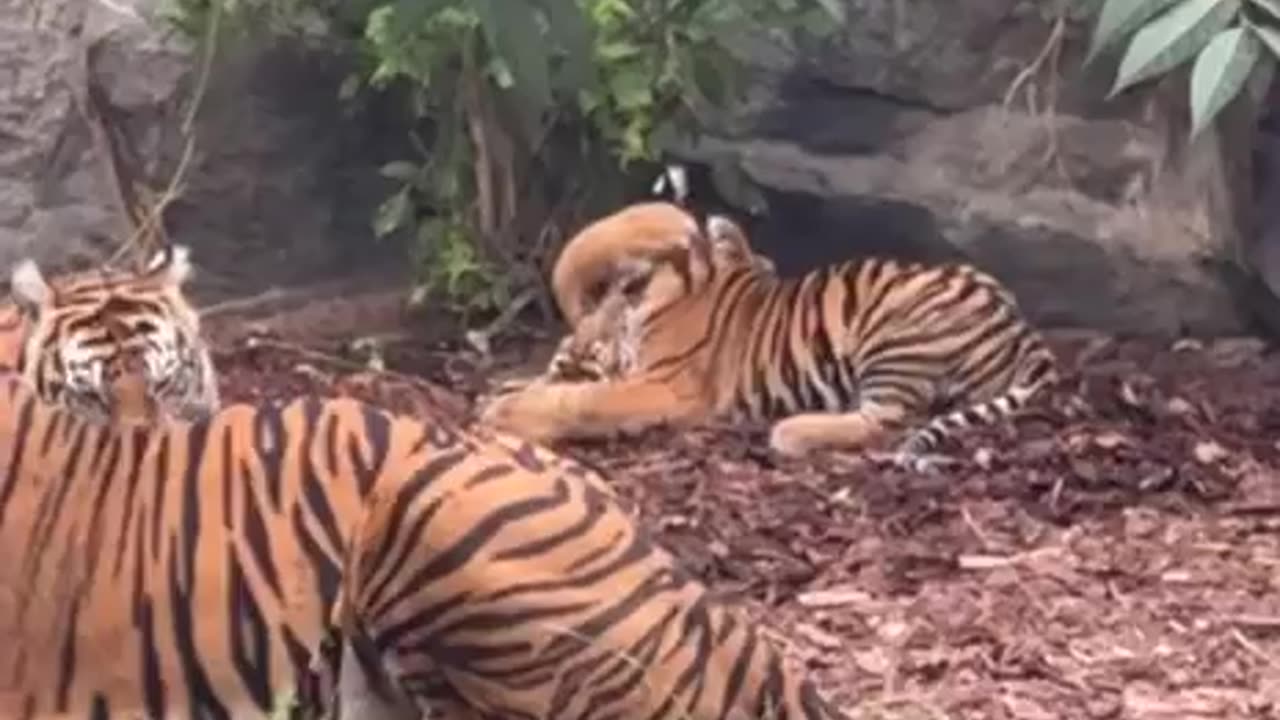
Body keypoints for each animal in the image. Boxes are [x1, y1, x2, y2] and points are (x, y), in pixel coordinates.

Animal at [480, 213, 1059, 469]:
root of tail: (1018, 326)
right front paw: (506, 392)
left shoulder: (667, 386)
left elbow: (584, 400)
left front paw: (506, 410)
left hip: (894, 330)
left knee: (887, 420)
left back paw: (791, 431)